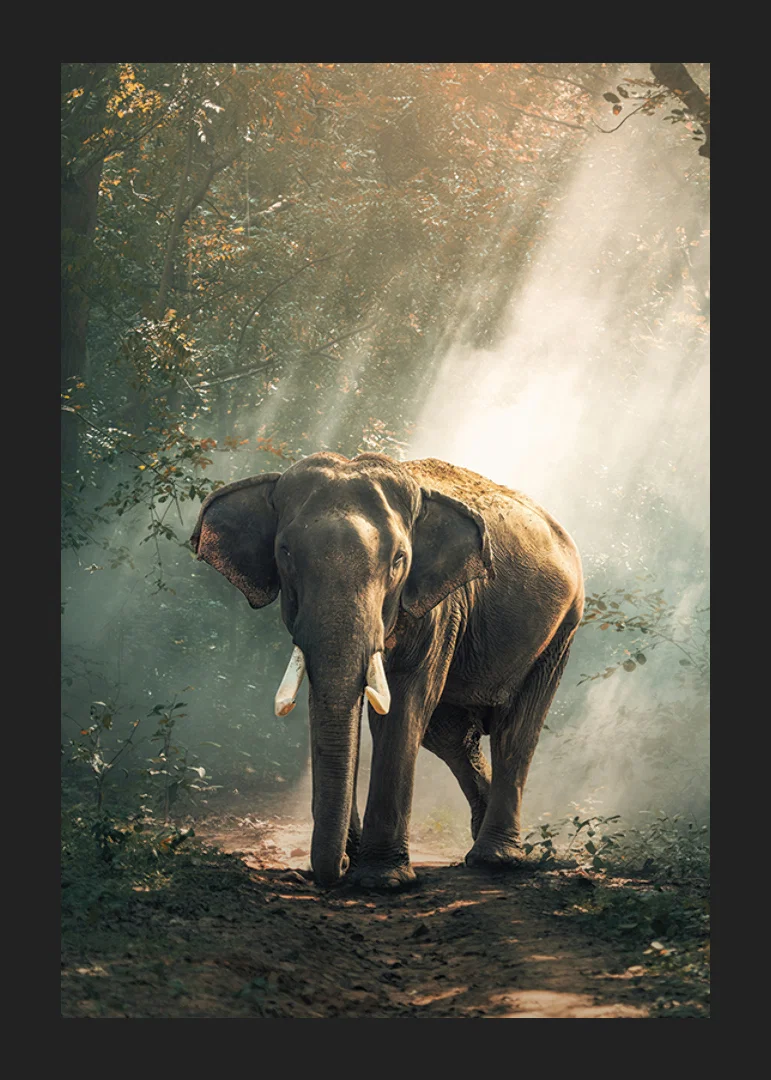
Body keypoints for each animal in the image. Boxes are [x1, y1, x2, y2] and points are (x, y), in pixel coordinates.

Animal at [190, 452, 583, 889]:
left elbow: (404, 705)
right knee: (450, 736)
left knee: (515, 731)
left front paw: (382, 880)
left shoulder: (440, 607)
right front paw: (356, 860)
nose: (337, 869)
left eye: (399, 560)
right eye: (285, 553)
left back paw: (494, 860)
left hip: (561, 629)